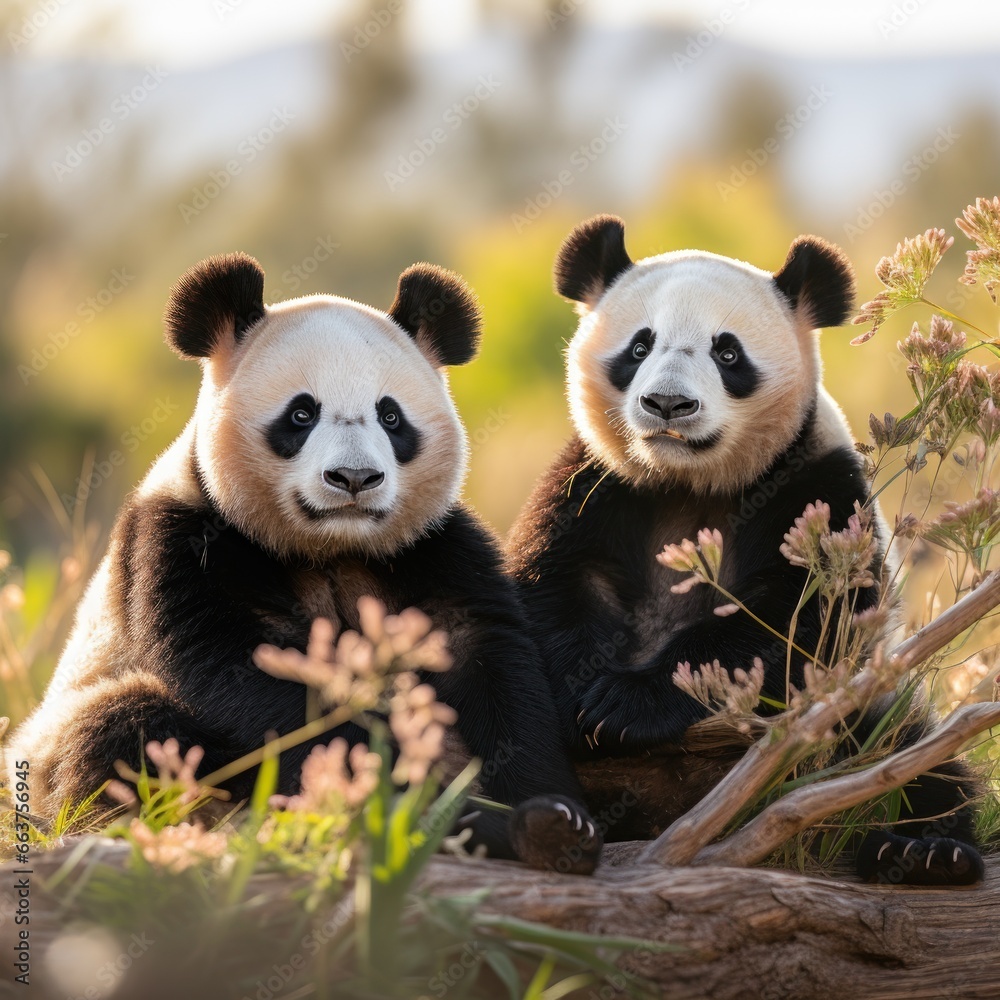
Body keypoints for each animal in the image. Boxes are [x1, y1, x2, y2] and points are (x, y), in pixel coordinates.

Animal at [9, 252, 600, 876]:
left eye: (391, 417)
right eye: (300, 414)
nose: (354, 479)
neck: (333, 548)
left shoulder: (433, 548)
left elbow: (490, 666)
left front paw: (554, 818)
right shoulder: (185, 539)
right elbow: (262, 686)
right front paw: (416, 803)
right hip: (60, 743)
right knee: (121, 731)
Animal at [508, 211, 984, 884]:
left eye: (727, 352)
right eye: (639, 347)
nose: (668, 404)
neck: (688, 481)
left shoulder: (814, 484)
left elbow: (800, 621)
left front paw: (625, 704)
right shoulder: (595, 485)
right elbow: (552, 587)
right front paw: (584, 699)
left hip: (846, 727)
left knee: (911, 757)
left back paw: (922, 853)